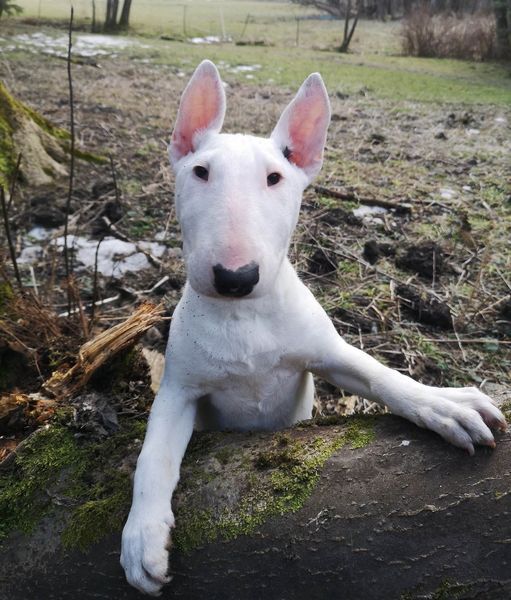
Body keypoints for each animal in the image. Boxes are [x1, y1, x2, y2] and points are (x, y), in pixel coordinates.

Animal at [120, 60, 506, 595]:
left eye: (275, 178)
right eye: (200, 171)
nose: (235, 277)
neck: (244, 318)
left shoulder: (328, 355)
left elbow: (383, 377)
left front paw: (445, 406)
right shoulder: (180, 390)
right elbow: (152, 456)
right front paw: (140, 539)